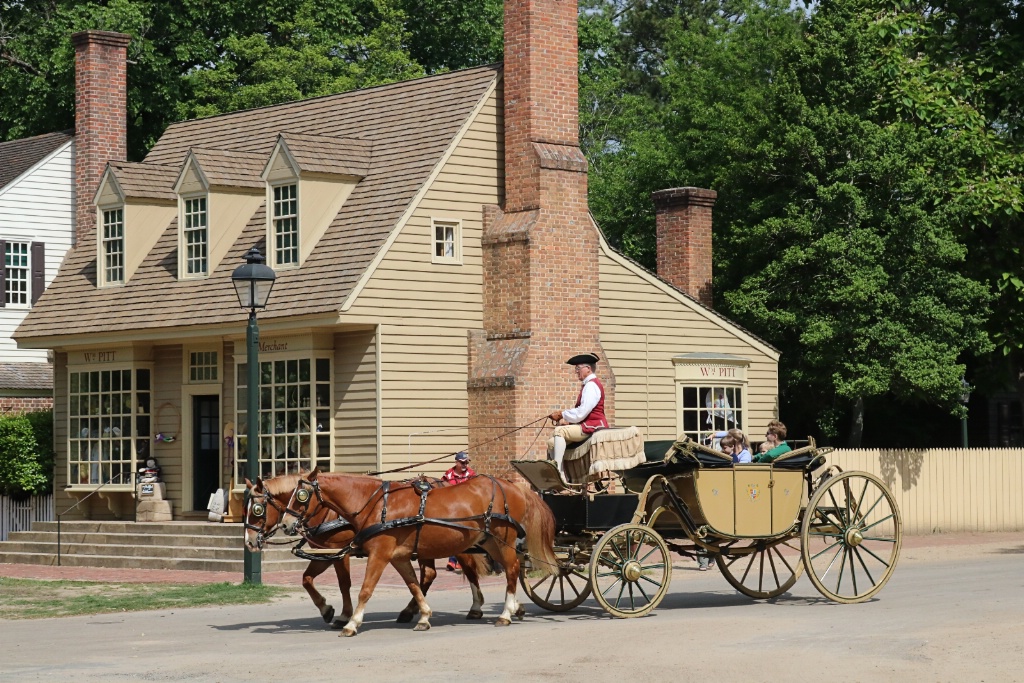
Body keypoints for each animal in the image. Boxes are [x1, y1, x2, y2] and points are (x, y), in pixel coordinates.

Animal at [245, 479, 489, 626]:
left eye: (258, 510)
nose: (248, 542)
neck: (329, 511)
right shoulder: (326, 552)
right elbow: (306, 579)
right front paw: (326, 609)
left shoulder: (340, 552)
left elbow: (344, 583)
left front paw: (343, 615)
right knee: (429, 575)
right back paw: (410, 610)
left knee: (467, 568)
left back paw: (475, 607)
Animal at [284, 471, 557, 634]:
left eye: (301, 496)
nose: (286, 524)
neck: (376, 505)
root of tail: (514, 486)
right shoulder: (399, 557)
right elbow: (414, 585)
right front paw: (424, 616)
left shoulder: (379, 554)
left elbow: (366, 589)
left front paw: (351, 622)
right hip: (489, 542)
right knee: (506, 569)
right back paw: (514, 608)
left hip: (503, 540)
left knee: (511, 571)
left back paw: (505, 613)